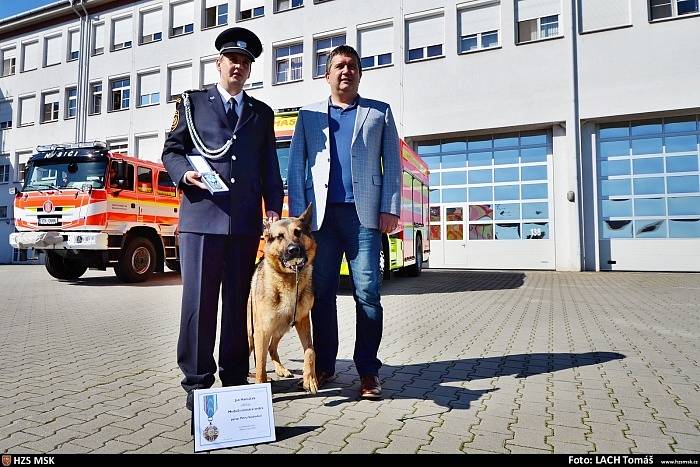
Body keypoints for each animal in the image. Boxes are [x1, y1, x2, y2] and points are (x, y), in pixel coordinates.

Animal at [247, 207, 318, 394]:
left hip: (281, 327)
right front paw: (260, 384)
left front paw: (310, 379)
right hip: (251, 335)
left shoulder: (302, 321)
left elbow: (310, 351)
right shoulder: (261, 331)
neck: (289, 280)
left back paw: (281, 369)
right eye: (279, 236)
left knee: (272, 348)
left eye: (298, 232)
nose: (294, 249)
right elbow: (260, 363)